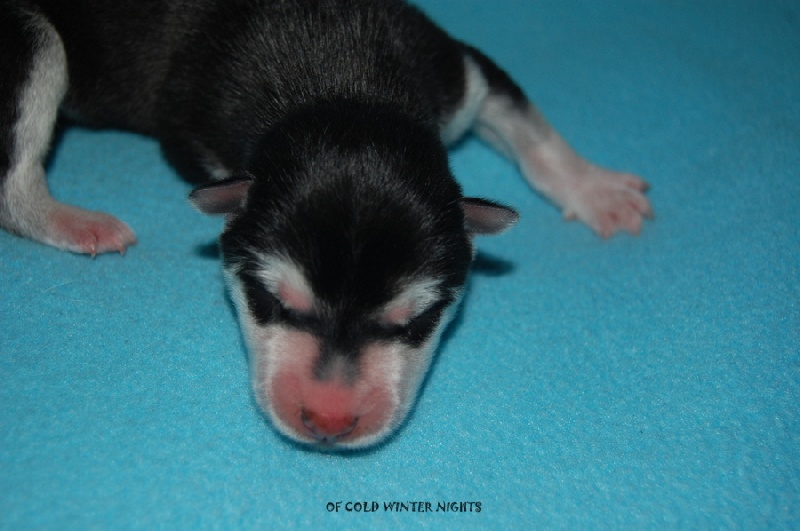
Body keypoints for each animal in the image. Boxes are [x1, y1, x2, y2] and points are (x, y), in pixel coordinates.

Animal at [0, 0, 652, 449]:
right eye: (269, 302)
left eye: (416, 321)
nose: (329, 424)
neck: (342, 83)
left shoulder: (462, 73)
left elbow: (533, 131)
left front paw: (594, 188)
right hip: (32, 34)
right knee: (16, 173)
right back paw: (75, 221)